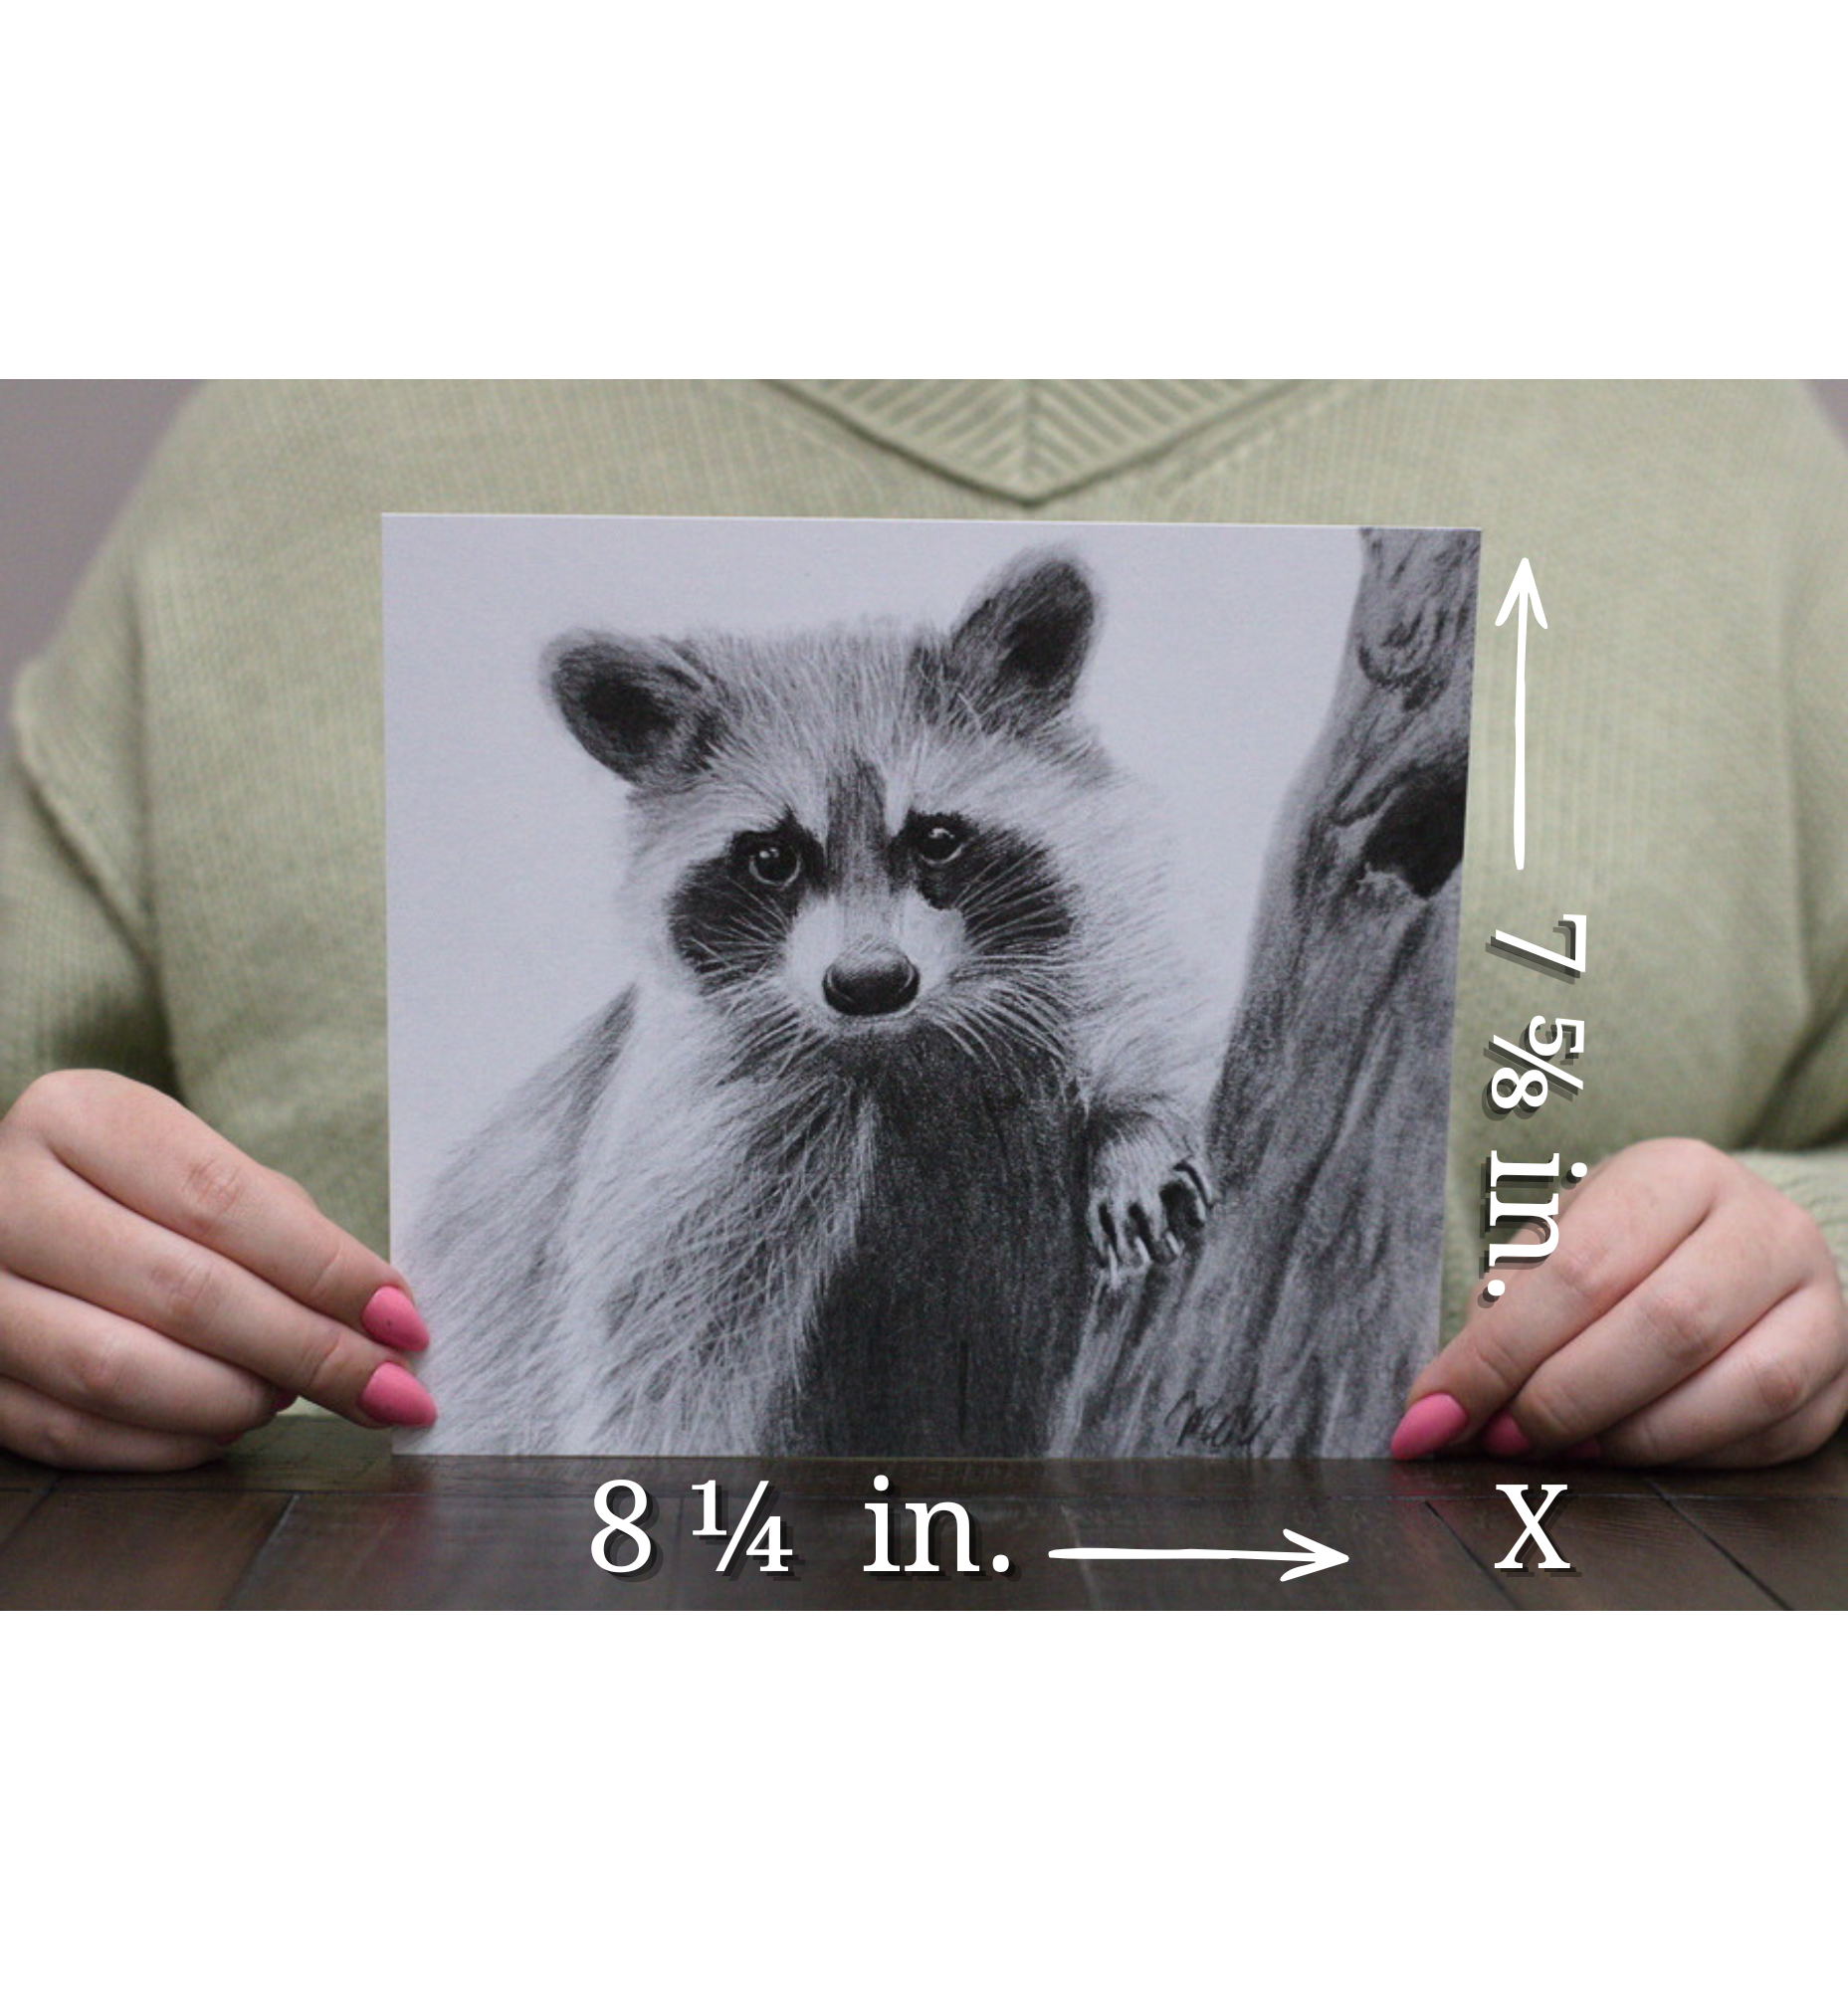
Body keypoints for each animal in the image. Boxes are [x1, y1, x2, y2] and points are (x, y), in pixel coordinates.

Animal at [405, 551, 1218, 1456]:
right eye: (771, 859)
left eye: (937, 838)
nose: (869, 982)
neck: (901, 1047)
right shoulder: (701, 1148)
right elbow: (657, 1381)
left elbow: (1143, 1017)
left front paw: (1138, 1127)